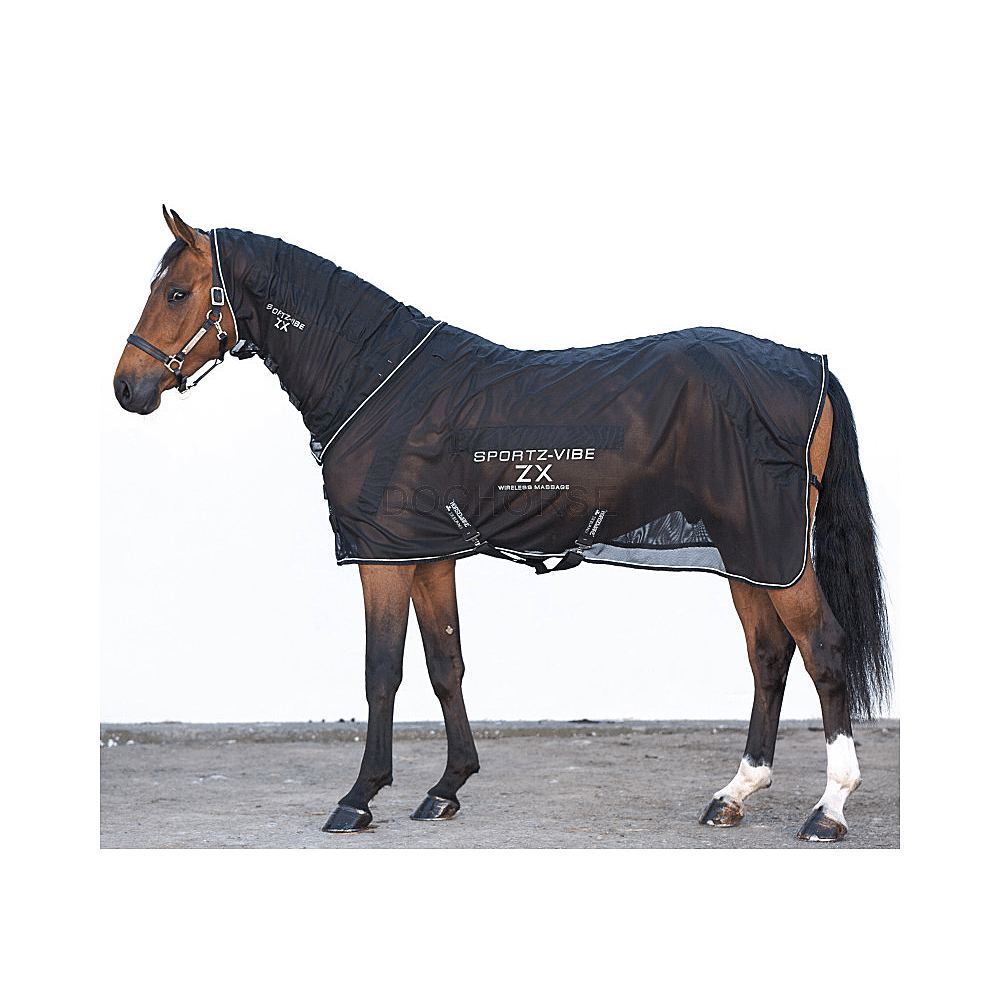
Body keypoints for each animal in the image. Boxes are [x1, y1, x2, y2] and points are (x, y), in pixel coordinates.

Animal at [113, 207, 891, 842]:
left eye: (177, 292)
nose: (127, 388)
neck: (374, 380)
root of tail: (809, 367)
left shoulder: (382, 557)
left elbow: (381, 672)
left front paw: (358, 799)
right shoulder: (428, 553)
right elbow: (445, 665)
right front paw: (445, 789)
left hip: (773, 548)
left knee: (822, 649)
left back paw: (828, 810)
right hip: (752, 552)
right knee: (769, 655)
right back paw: (734, 794)